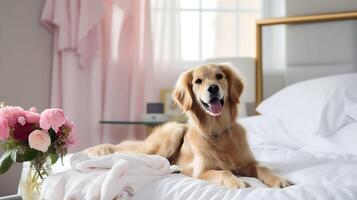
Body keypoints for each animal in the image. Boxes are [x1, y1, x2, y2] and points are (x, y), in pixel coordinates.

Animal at [86, 63, 292, 188]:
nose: (213, 88)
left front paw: (279, 179)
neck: (217, 130)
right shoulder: (203, 171)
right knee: (136, 155)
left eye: (219, 76)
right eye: (198, 81)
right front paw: (237, 183)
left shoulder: (248, 163)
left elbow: (263, 167)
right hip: (173, 132)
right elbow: (225, 171)